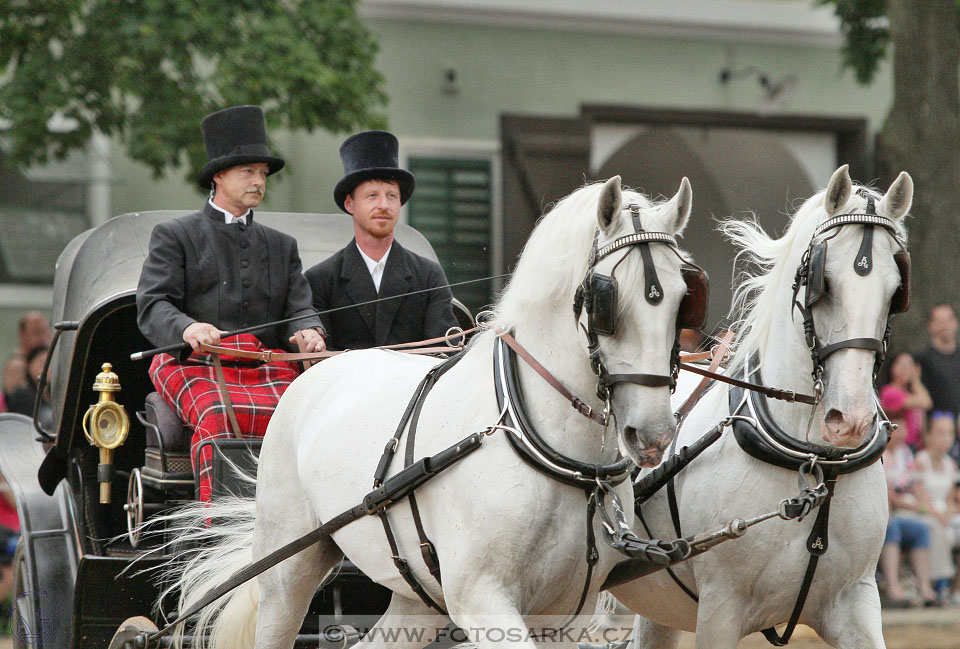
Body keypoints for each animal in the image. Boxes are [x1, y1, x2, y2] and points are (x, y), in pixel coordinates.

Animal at [165, 176, 700, 648]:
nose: (653, 435)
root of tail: (317, 369)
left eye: (683, 300)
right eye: (607, 299)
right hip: (287, 567)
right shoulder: (481, 599)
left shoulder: (566, 613)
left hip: (418, 592)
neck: (538, 440)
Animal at [608, 166, 916, 648]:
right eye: (823, 283)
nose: (850, 420)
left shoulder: (854, 601)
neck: (813, 460)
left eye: (895, 290)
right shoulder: (719, 609)